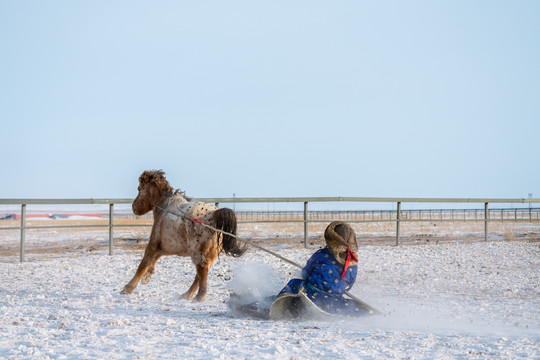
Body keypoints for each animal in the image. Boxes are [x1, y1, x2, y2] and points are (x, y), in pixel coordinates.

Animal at [121, 169, 246, 300]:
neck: (164, 207)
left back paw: (199, 297)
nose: (134, 207)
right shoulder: (167, 247)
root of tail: (215, 214)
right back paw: (187, 295)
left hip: (198, 252)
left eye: (139, 189)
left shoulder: (153, 244)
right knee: (200, 275)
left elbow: (143, 264)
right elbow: (154, 259)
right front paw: (147, 276)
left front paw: (128, 288)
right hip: (211, 255)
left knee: (202, 270)